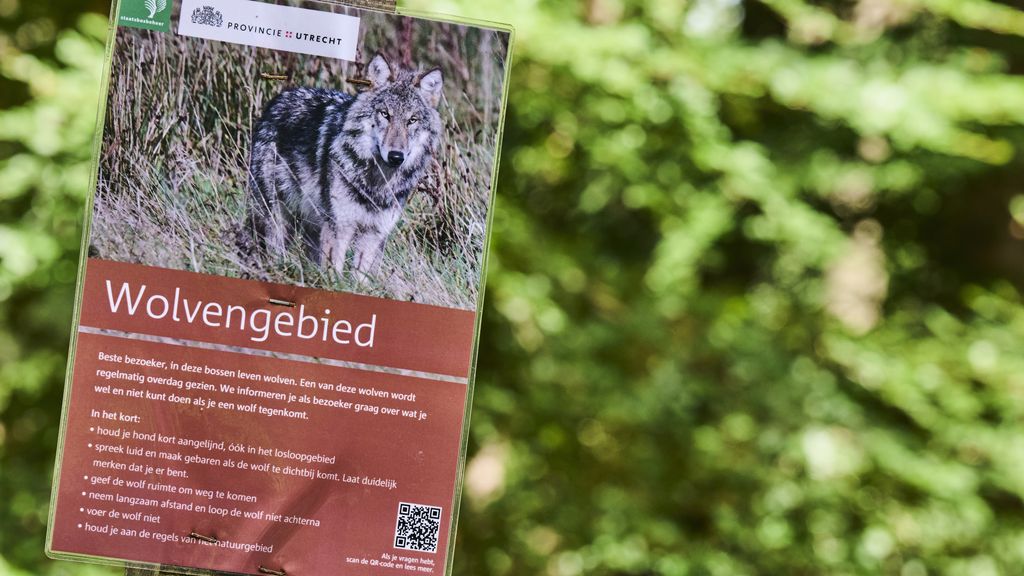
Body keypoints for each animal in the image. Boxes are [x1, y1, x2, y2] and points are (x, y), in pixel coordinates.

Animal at [246, 54, 444, 277]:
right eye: (385, 114)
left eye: (412, 120)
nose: (396, 156)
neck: (376, 185)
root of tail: (279, 99)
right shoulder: (339, 227)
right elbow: (334, 272)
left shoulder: (373, 234)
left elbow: (360, 276)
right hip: (278, 216)